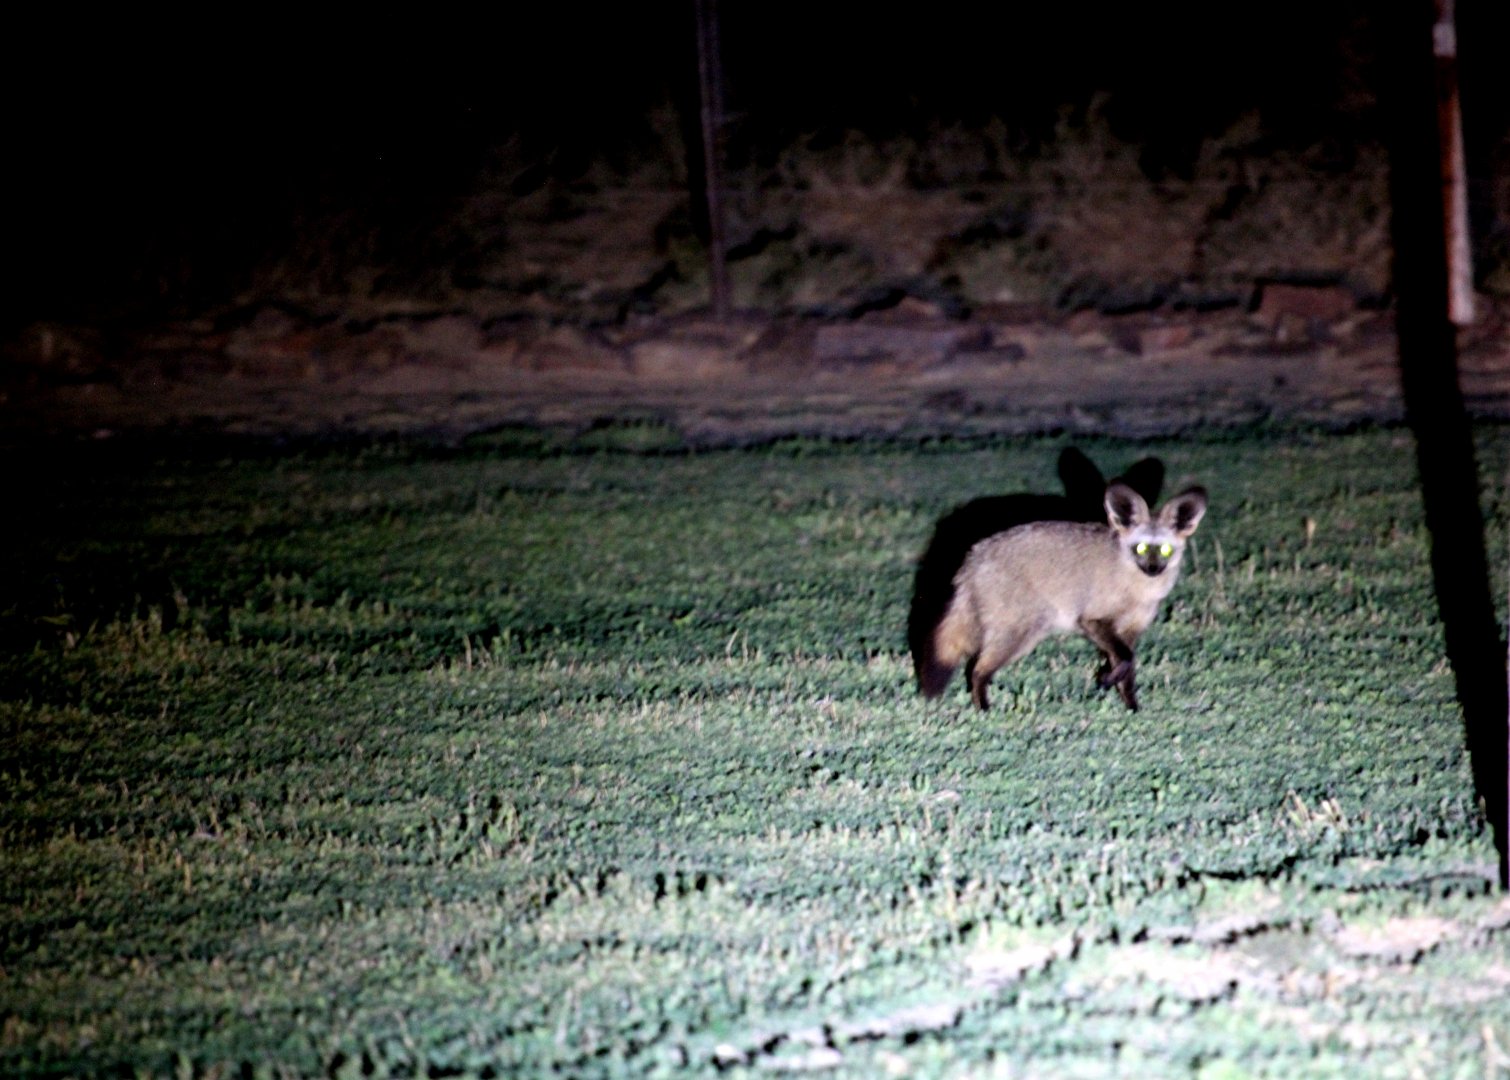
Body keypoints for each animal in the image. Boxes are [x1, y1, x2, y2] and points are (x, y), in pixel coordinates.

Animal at [925, 482, 1207, 712]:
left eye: (1165, 550)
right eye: (1140, 548)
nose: (1153, 569)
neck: (1136, 588)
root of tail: (973, 557)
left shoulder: (1129, 631)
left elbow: (1127, 668)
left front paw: (1130, 704)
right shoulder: (1092, 619)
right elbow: (1127, 658)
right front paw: (1109, 680)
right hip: (1018, 634)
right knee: (977, 671)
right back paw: (983, 709)